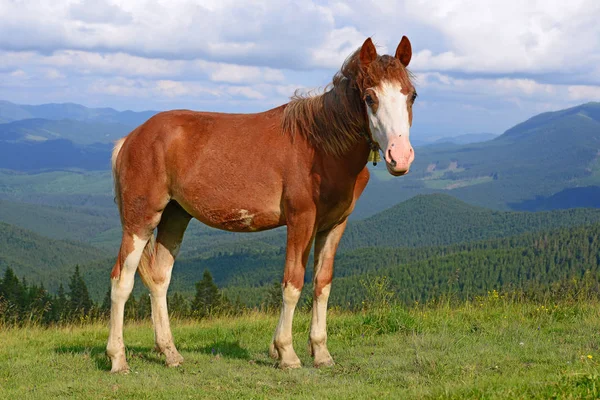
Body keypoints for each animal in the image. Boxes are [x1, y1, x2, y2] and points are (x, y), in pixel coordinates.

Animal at [108, 37, 414, 372]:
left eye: (411, 95)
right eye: (370, 97)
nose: (400, 156)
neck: (322, 146)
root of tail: (131, 138)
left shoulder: (333, 226)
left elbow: (322, 284)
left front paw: (321, 352)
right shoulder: (301, 220)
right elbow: (293, 283)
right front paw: (287, 353)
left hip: (175, 217)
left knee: (160, 279)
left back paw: (170, 352)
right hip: (140, 220)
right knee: (121, 281)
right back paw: (118, 358)